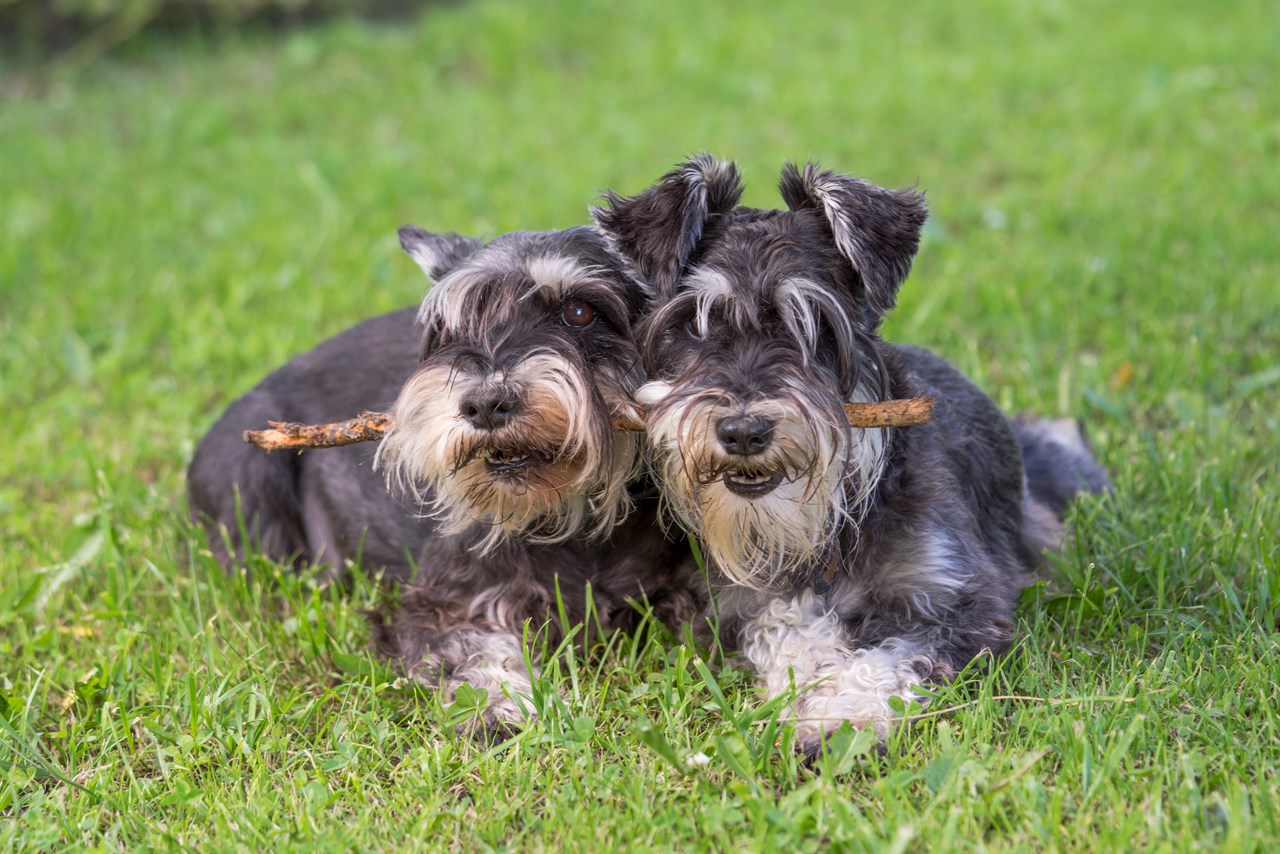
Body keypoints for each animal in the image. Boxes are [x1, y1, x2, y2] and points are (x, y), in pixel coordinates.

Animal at [186, 225, 701, 737]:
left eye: (579, 311)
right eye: (450, 328)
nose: (484, 404)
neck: (573, 518)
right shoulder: (451, 602)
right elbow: (470, 650)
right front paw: (501, 704)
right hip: (249, 477)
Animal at [593, 153, 1105, 752]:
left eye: (816, 325)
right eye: (692, 324)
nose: (743, 432)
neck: (833, 530)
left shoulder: (959, 597)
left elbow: (890, 657)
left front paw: (842, 717)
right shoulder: (738, 599)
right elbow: (788, 627)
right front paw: (817, 680)